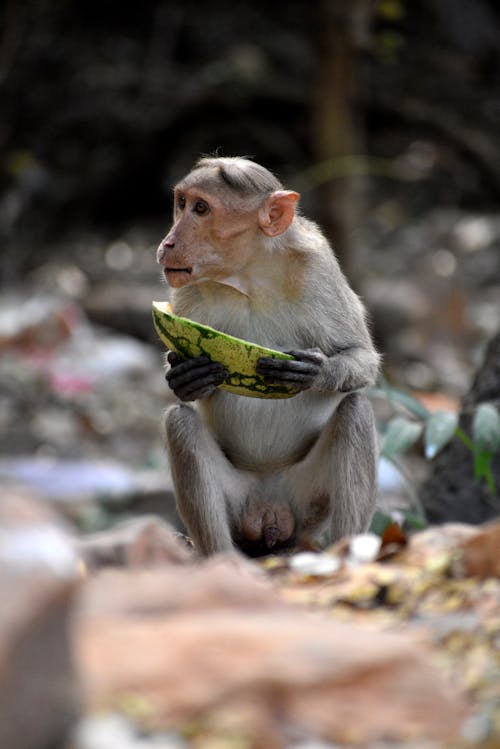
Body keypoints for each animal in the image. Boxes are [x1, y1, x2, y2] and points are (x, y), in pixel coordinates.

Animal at [156, 156, 378, 556]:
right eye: (181, 203)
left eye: (201, 209)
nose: (168, 242)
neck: (248, 277)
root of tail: (269, 510)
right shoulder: (185, 292)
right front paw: (185, 376)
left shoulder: (318, 267)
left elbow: (362, 356)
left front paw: (316, 372)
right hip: (240, 502)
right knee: (179, 425)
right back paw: (222, 558)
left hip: (307, 503)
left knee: (356, 411)